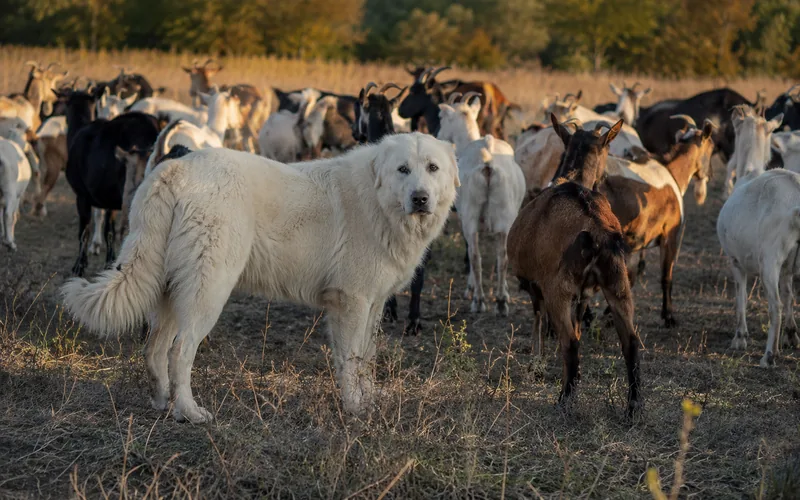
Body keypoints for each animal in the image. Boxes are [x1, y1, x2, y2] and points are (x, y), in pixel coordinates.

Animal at [507, 113, 641, 417]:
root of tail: (599, 234)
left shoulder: (537, 286)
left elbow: (539, 323)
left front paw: (536, 367)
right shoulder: (584, 296)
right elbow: (579, 325)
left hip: (559, 288)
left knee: (570, 341)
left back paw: (564, 400)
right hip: (618, 283)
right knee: (630, 341)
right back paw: (633, 407)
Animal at [717, 105, 799, 367]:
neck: (749, 172)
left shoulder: (735, 260)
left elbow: (741, 296)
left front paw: (740, 338)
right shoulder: (788, 267)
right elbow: (790, 295)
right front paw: (791, 336)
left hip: (769, 260)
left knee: (775, 306)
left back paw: (768, 356)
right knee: (784, 300)